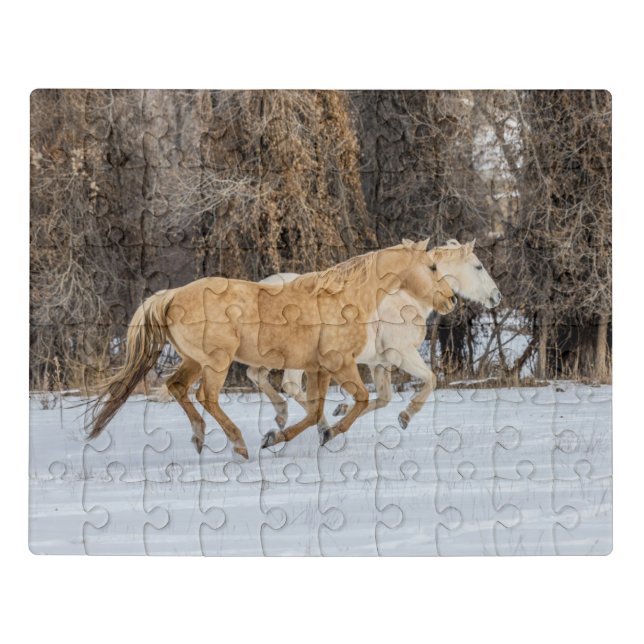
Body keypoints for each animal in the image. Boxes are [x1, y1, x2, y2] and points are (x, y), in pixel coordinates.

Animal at [86, 238, 456, 458]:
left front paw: (283, 436)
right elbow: (360, 400)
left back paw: (199, 438)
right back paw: (238, 445)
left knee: (176, 386)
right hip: (217, 361)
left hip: (193, 359)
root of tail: (172, 295)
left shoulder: (318, 368)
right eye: (432, 267)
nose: (451, 299)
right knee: (207, 396)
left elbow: (314, 411)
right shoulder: (340, 364)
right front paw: (326, 433)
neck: (346, 300)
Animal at [248, 239, 501, 431]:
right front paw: (405, 416)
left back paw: (288, 417)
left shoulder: (380, 363)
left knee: (257, 375)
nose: (497, 296)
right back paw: (316, 423)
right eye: (478, 266)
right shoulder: (401, 354)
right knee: (288, 384)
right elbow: (431, 379)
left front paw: (342, 410)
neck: (406, 298)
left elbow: (383, 398)